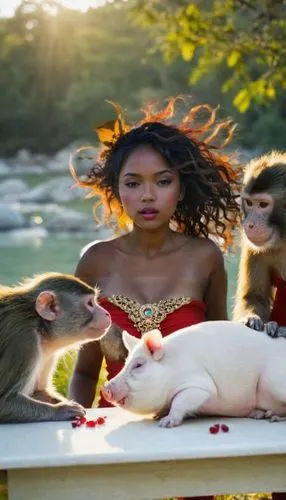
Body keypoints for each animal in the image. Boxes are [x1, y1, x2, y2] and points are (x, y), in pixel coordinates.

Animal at [0, 274, 110, 422]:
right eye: (90, 303)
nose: (107, 313)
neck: (40, 325)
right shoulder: (23, 340)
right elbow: (4, 402)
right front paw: (61, 410)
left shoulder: (48, 350)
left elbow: (39, 392)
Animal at [101, 320, 286, 426]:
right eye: (126, 363)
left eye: (138, 365)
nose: (104, 388)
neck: (171, 370)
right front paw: (158, 417)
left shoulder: (200, 386)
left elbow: (180, 400)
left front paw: (165, 423)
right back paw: (259, 414)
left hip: (272, 380)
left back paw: (273, 418)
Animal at [233, 150, 286, 338]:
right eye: (249, 203)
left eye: (263, 204)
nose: (249, 224)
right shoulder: (253, 246)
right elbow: (254, 297)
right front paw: (251, 318)